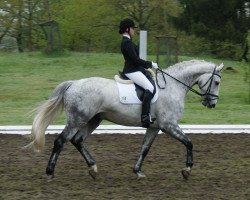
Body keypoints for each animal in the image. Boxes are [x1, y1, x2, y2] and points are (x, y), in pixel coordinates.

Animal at [26, 59, 224, 180]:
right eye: (217, 82)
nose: (212, 104)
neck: (173, 86)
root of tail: (73, 84)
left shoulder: (155, 127)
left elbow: (145, 148)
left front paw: (138, 171)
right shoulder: (168, 125)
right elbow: (188, 142)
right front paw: (187, 170)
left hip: (93, 120)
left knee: (77, 140)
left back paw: (93, 168)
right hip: (77, 120)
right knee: (61, 141)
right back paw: (50, 172)